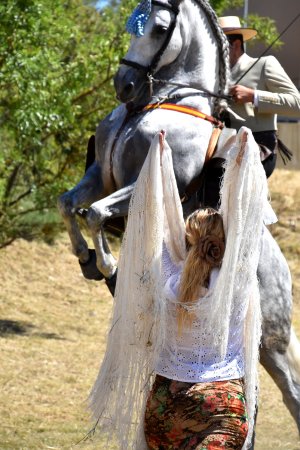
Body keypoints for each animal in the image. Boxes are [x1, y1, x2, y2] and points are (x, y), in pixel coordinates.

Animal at [56, 0, 300, 440]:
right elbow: (68, 204)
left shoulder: (140, 186)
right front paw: (86, 260)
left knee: (289, 394)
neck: (168, 100)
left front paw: (109, 266)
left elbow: (96, 213)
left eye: (158, 28)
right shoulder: (100, 175)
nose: (124, 86)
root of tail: (283, 270)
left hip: (267, 340)